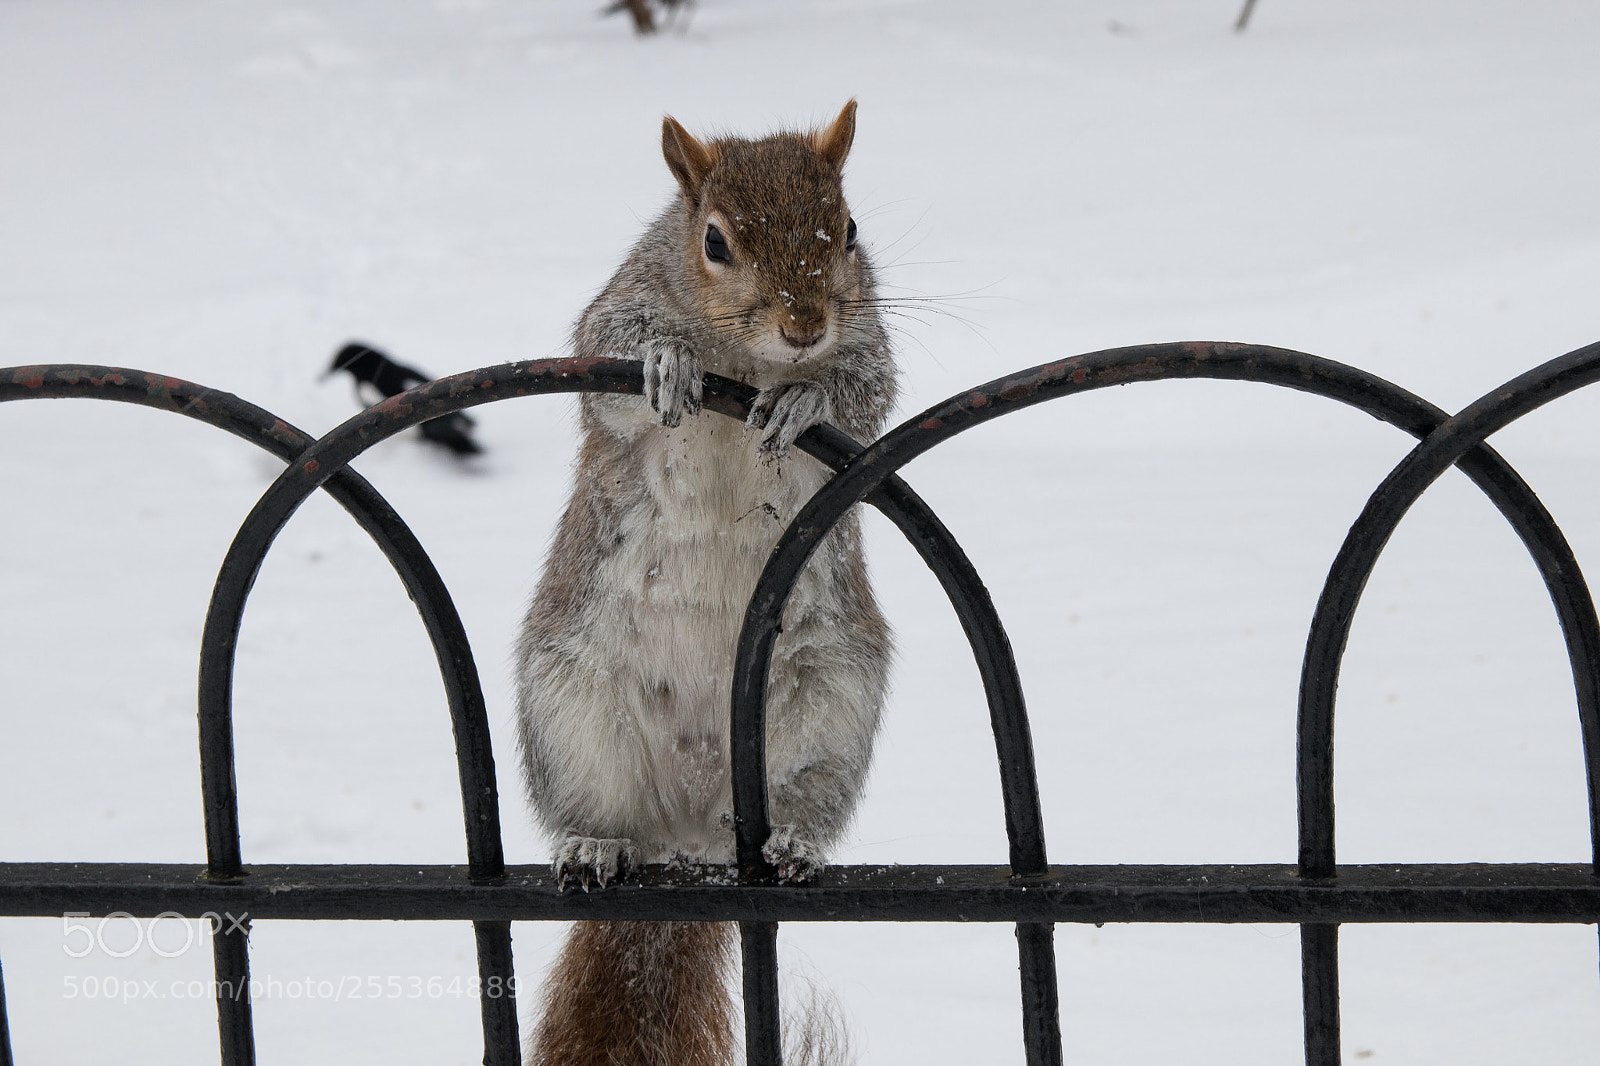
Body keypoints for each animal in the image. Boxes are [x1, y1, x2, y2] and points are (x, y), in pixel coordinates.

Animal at [514, 100, 896, 1066]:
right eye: (714, 241)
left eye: (847, 229)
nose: (804, 326)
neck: (747, 356)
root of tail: (687, 840)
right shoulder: (616, 315)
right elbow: (611, 363)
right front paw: (669, 365)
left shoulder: (870, 346)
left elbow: (865, 391)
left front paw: (806, 395)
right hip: (568, 704)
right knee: (600, 813)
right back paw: (593, 845)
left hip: (830, 708)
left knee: (803, 801)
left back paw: (794, 842)